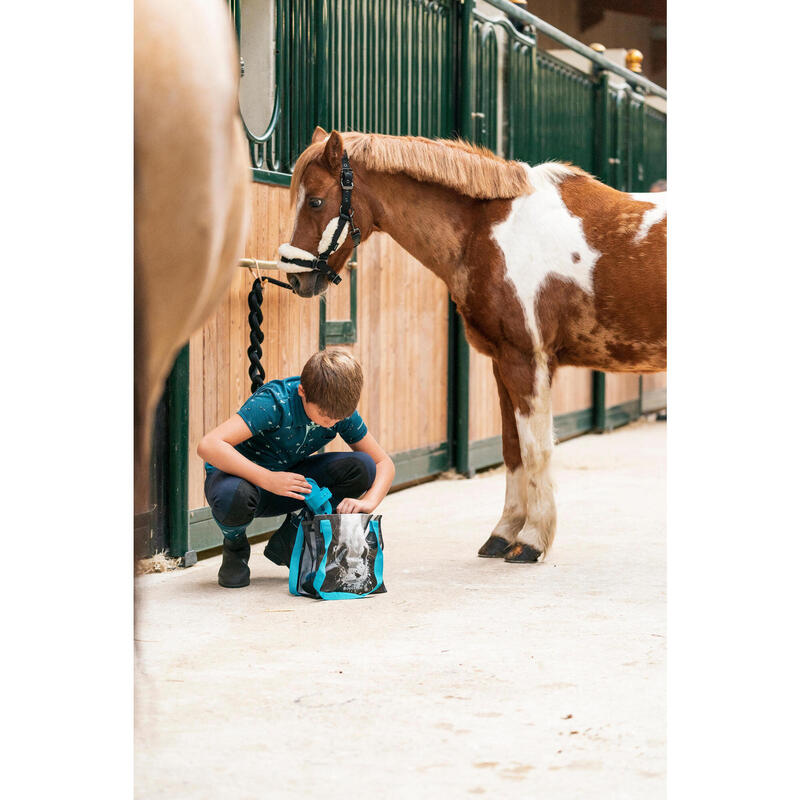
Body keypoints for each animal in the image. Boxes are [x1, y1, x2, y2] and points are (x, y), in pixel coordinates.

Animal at [278, 128, 664, 564]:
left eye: (315, 201)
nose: (294, 278)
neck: (492, 232)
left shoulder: (527, 361)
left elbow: (535, 450)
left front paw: (531, 541)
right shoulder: (503, 362)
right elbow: (511, 448)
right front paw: (503, 535)